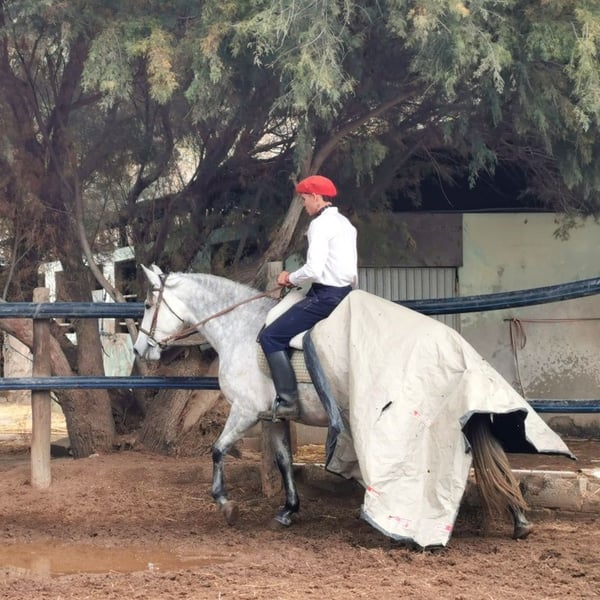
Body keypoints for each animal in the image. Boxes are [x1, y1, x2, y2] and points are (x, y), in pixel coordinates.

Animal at [133, 264, 534, 546]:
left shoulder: (245, 411)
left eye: (150, 304)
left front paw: (225, 504)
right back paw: (520, 522)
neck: (243, 331)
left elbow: (217, 450)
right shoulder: (272, 417)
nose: (140, 350)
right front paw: (288, 510)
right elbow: (283, 460)